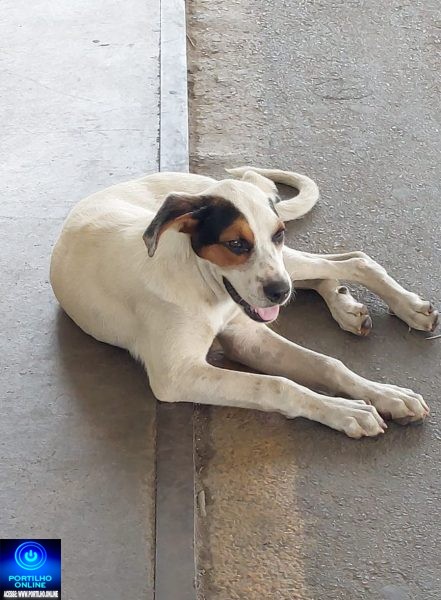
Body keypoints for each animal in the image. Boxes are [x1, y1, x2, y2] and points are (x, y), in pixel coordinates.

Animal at [50, 167, 438, 438]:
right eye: (235, 244)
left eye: (278, 233)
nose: (278, 292)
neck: (202, 285)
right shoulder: (179, 375)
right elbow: (277, 384)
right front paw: (348, 411)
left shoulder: (248, 331)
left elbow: (329, 364)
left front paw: (388, 395)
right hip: (286, 270)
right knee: (333, 268)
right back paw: (348, 308)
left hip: (288, 263)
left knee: (354, 261)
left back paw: (404, 307)